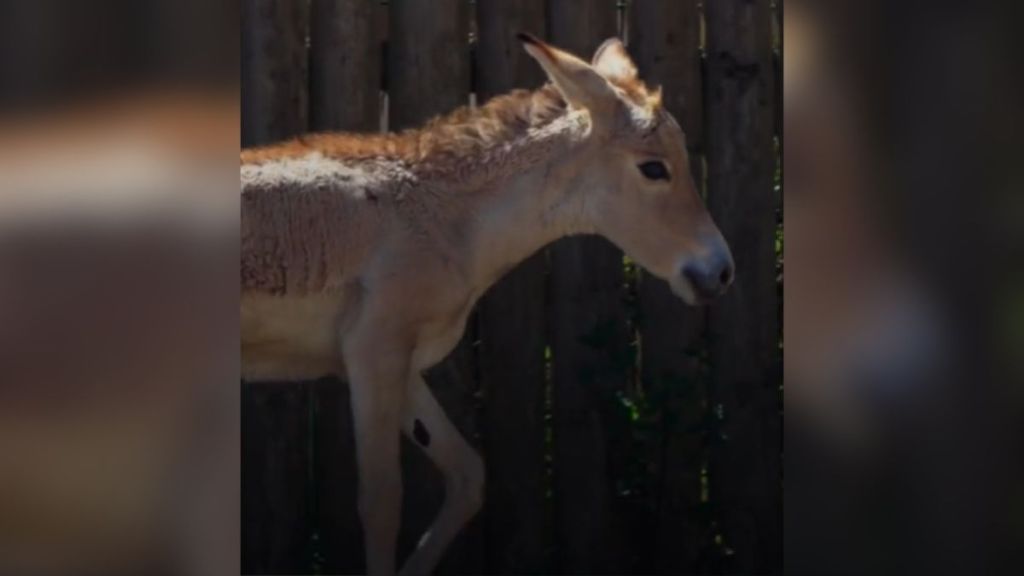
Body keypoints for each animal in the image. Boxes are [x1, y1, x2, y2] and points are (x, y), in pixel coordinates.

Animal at [239, 33, 737, 569]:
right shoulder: (376, 353)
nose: (722, 272)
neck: (444, 219)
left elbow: (468, 477)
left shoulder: (399, 366)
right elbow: (381, 502)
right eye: (654, 169)